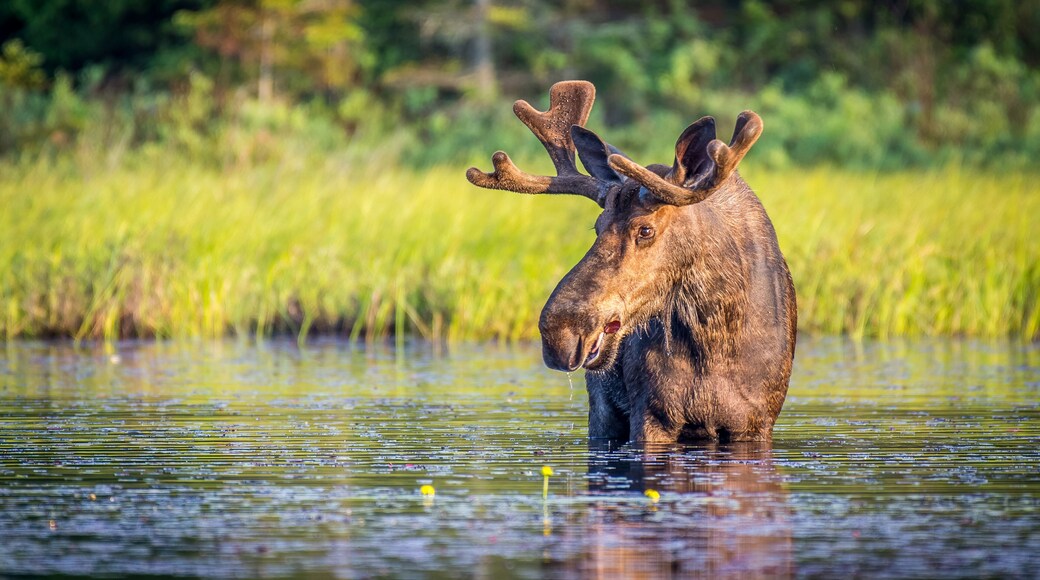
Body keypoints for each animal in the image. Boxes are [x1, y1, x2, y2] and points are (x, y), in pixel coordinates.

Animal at [466, 81, 796, 443]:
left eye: (645, 229)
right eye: (597, 226)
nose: (559, 332)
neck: (716, 340)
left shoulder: (755, 422)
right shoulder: (651, 414)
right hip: (602, 409)